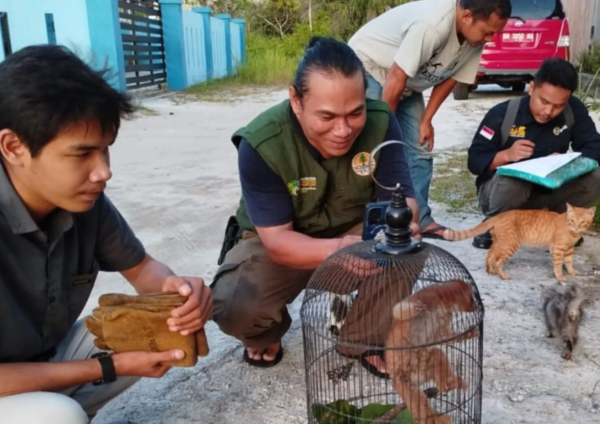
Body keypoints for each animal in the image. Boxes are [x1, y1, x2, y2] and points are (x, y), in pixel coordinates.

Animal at [384, 280, 478, 422]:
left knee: (437, 355)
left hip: (424, 369)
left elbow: (443, 336)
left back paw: (450, 384)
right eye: (471, 298)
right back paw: (432, 418)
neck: (442, 305)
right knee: (416, 399)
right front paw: (415, 309)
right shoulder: (426, 296)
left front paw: (469, 334)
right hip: (402, 380)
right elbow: (398, 310)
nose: (476, 306)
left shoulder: (445, 316)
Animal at [442, 205, 592, 284]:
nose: (576, 228)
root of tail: (500, 215)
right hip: (510, 245)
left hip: (499, 243)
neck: (572, 233)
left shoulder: (569, 249)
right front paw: (560, 277)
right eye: (572, 220)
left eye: (582, 222)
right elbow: (558, 265)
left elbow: (569, 262)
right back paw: (503, 276)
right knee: (498, 261)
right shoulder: (558, 249)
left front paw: (571, 271)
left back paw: (490, 271)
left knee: (489, 256)